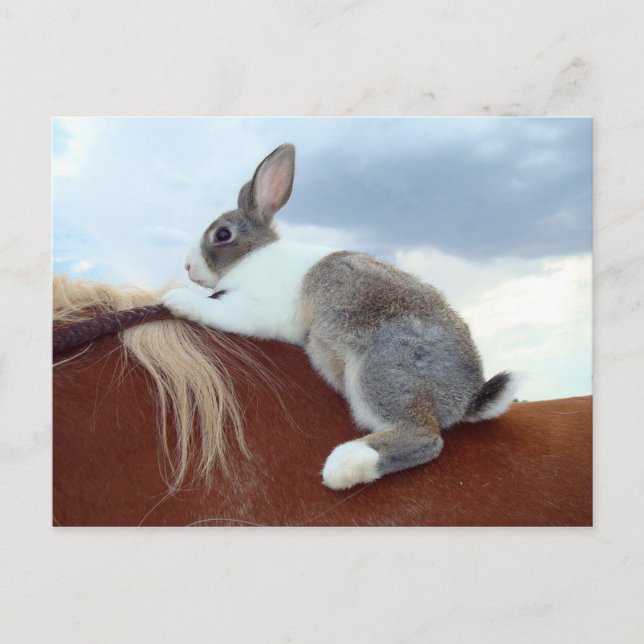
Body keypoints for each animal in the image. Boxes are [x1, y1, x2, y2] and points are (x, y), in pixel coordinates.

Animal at [162, 143, 519, 490]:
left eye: (222, 235)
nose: (188, 267)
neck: (251, 258)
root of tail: (465, 398)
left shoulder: (256, 307)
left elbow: (222, 310)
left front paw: (178, 300)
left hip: (380, 369)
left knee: (425, 438)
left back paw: (346, 465)